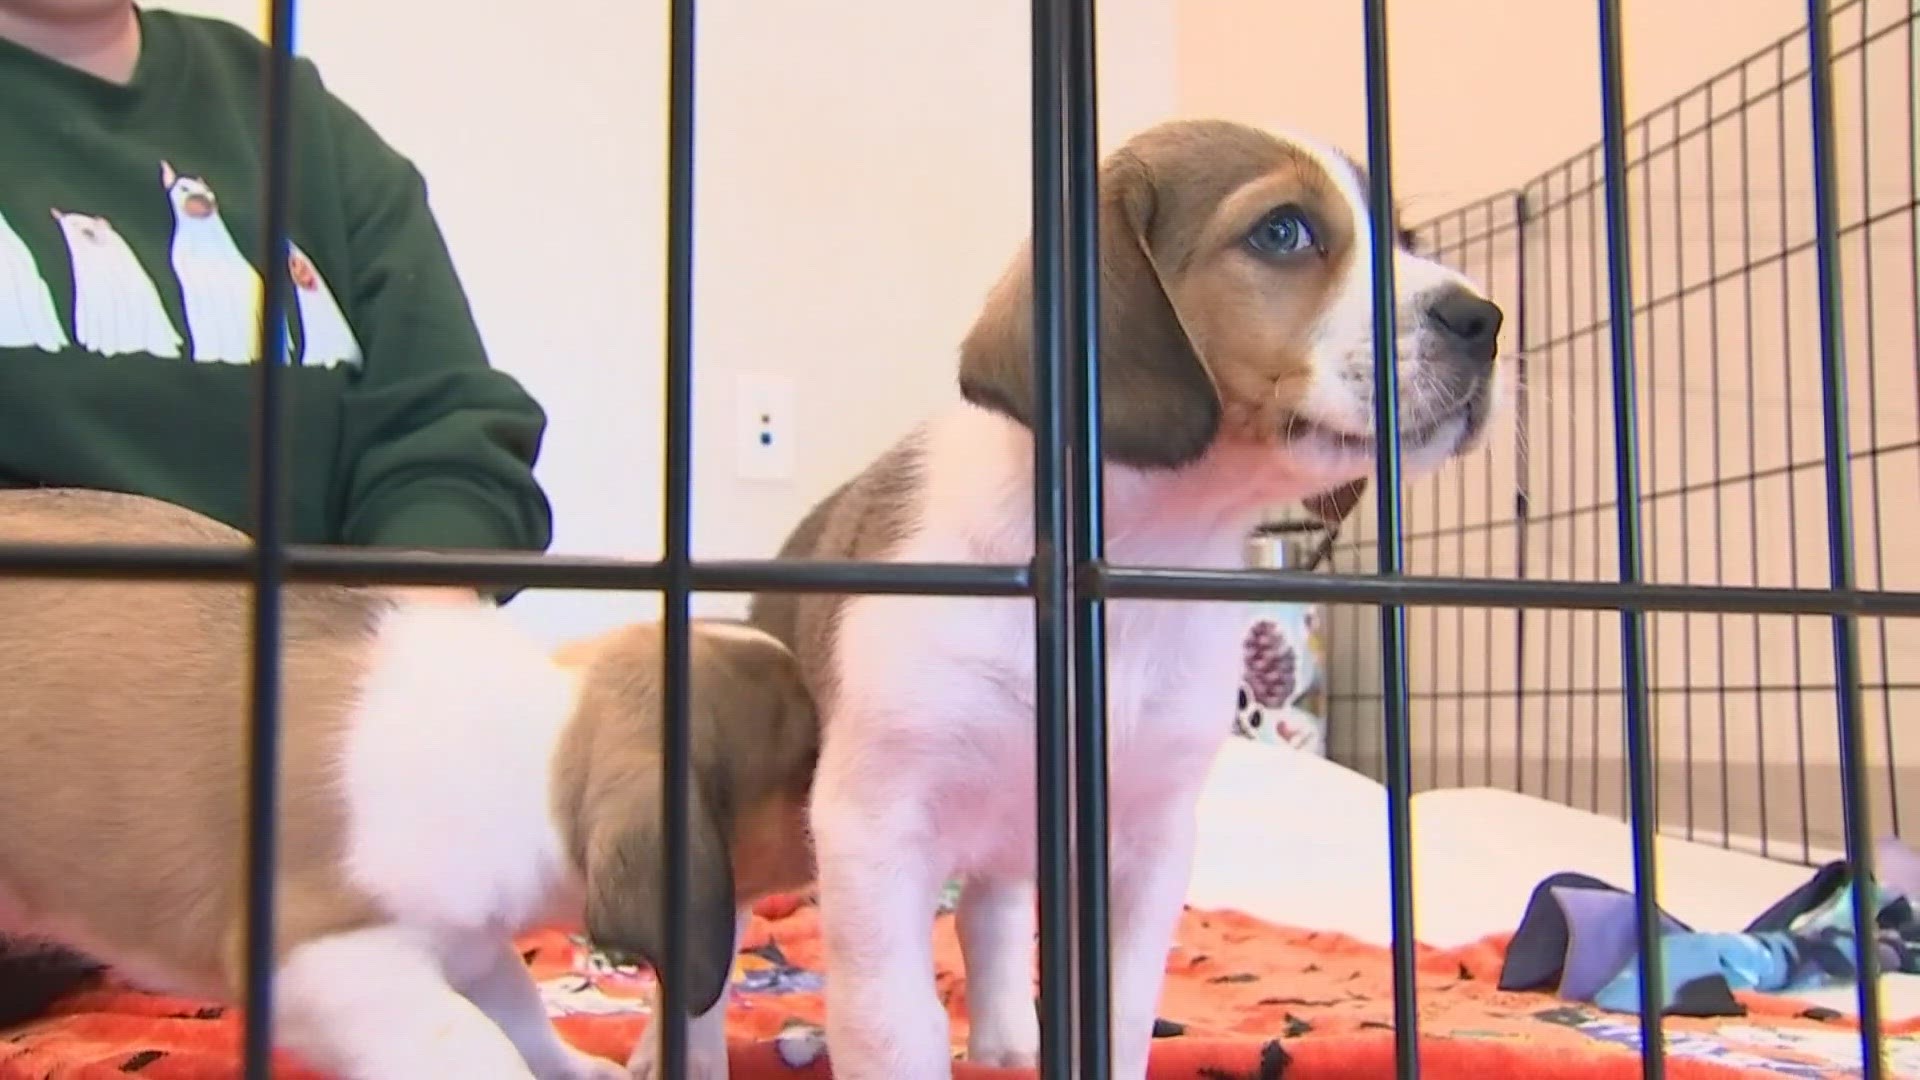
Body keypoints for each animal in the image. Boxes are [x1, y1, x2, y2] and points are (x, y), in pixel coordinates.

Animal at [0, 488, 817, 1076]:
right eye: (806, 761)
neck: (533, 746)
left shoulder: (474, 947)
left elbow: (523, 1016)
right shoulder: (331, 963)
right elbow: (481, 1050)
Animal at [741, 117, 1505, 1076]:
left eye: (1402, 237)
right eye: (1283, 231)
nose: (1486, 320)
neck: (1144, 550)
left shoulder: (1148, 841)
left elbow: (1120, 1009)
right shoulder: (875, 828)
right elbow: (894, 1025)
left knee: (992, 918)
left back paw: (1007, 1045)